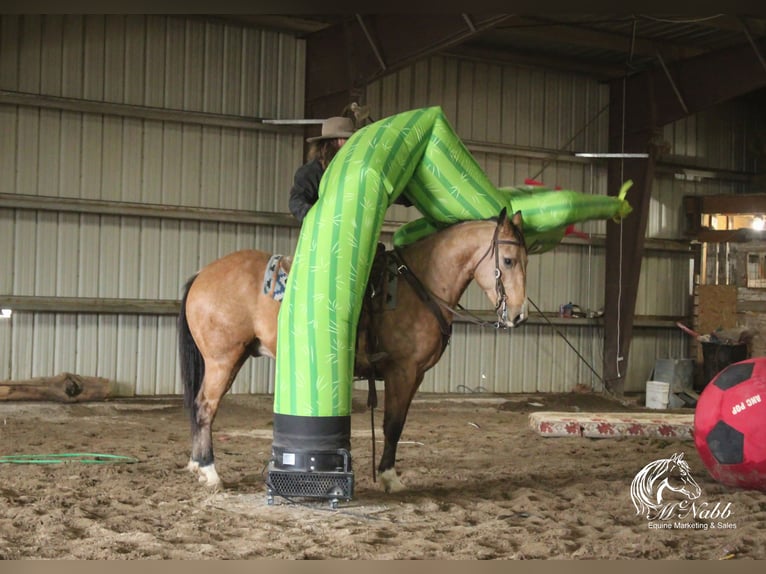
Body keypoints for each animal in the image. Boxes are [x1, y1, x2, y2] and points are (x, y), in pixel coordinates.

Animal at [178, 209, 528, 492]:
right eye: (508, 261)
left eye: (526, 260)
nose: (519, 315)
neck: (421, 286)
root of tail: (202, 275)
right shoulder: (402, 372)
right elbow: (392, 425)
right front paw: (390, 477)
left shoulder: (415, 376)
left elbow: (398, 424)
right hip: (223, 360)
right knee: (205, 407)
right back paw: (210, 472)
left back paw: (197, 465)